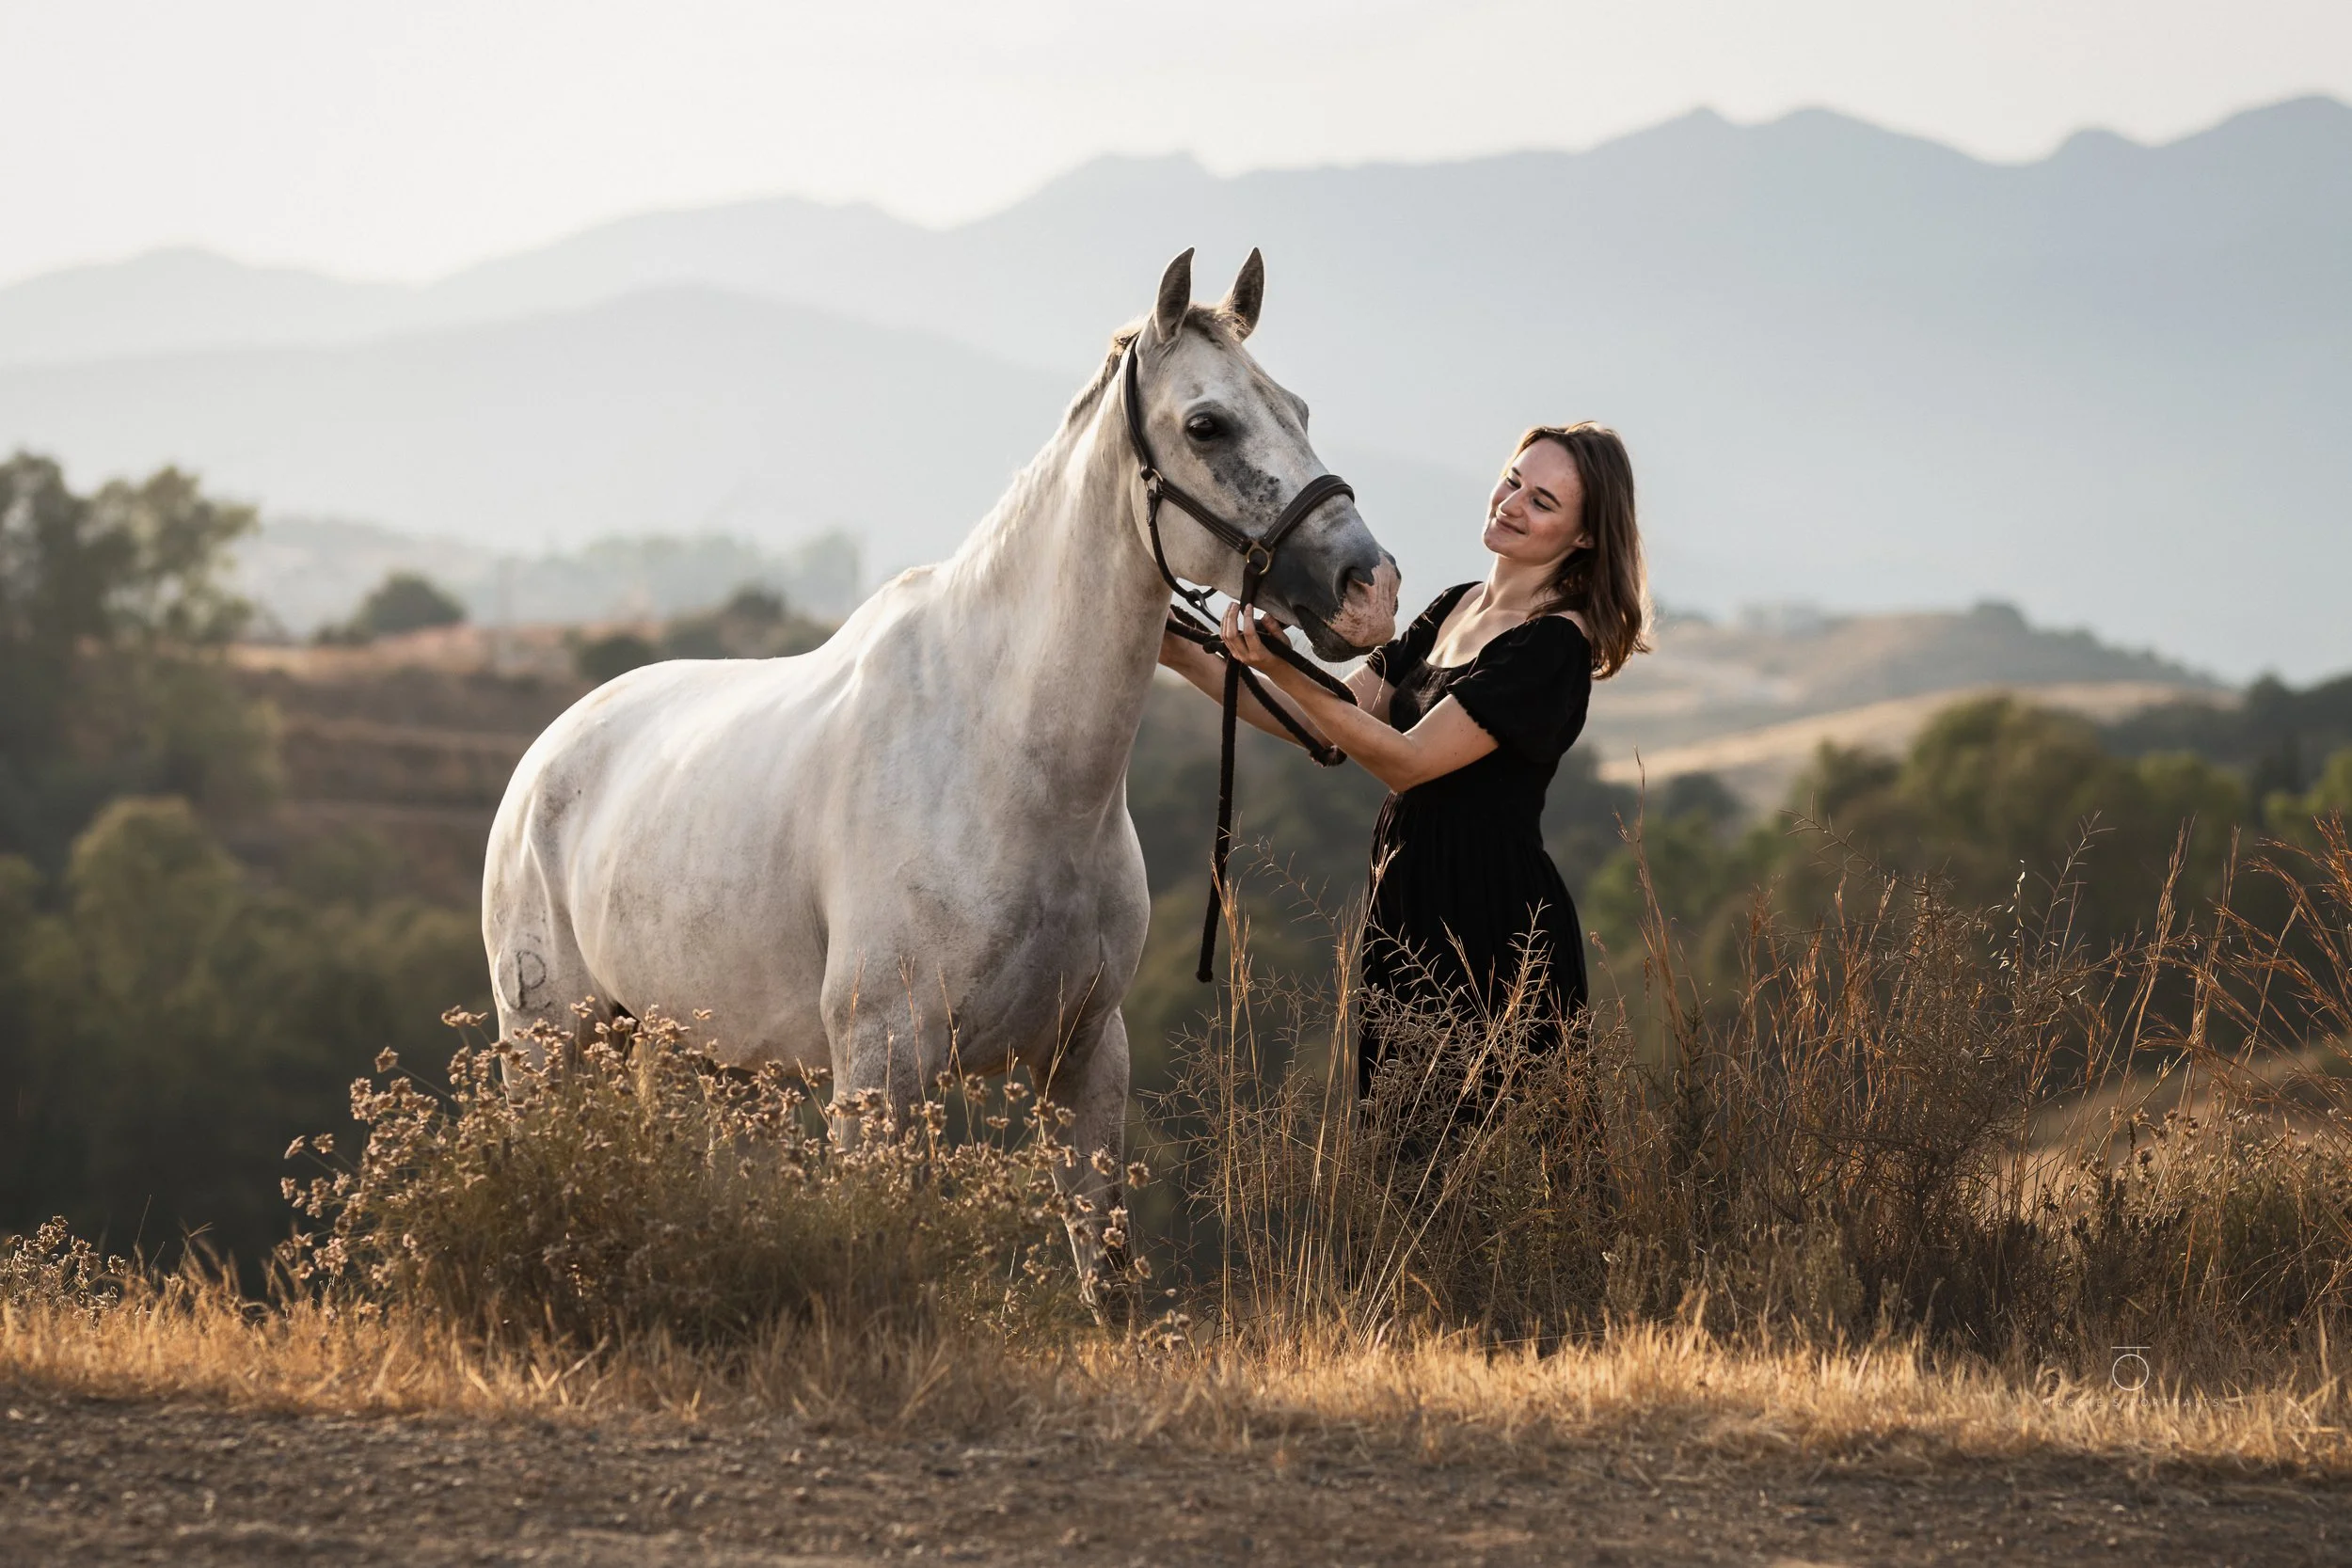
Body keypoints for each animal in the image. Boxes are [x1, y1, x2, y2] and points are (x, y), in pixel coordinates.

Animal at [480, 249, 1400, 1297]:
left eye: (1297, 405)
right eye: (1208, 423)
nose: (1369, 587)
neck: (1005, 759)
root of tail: (546, 759)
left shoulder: (1085, 1058)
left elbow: (1104, 1274)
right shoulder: (881, 1072)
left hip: (715, 1063)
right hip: (549, 1046)